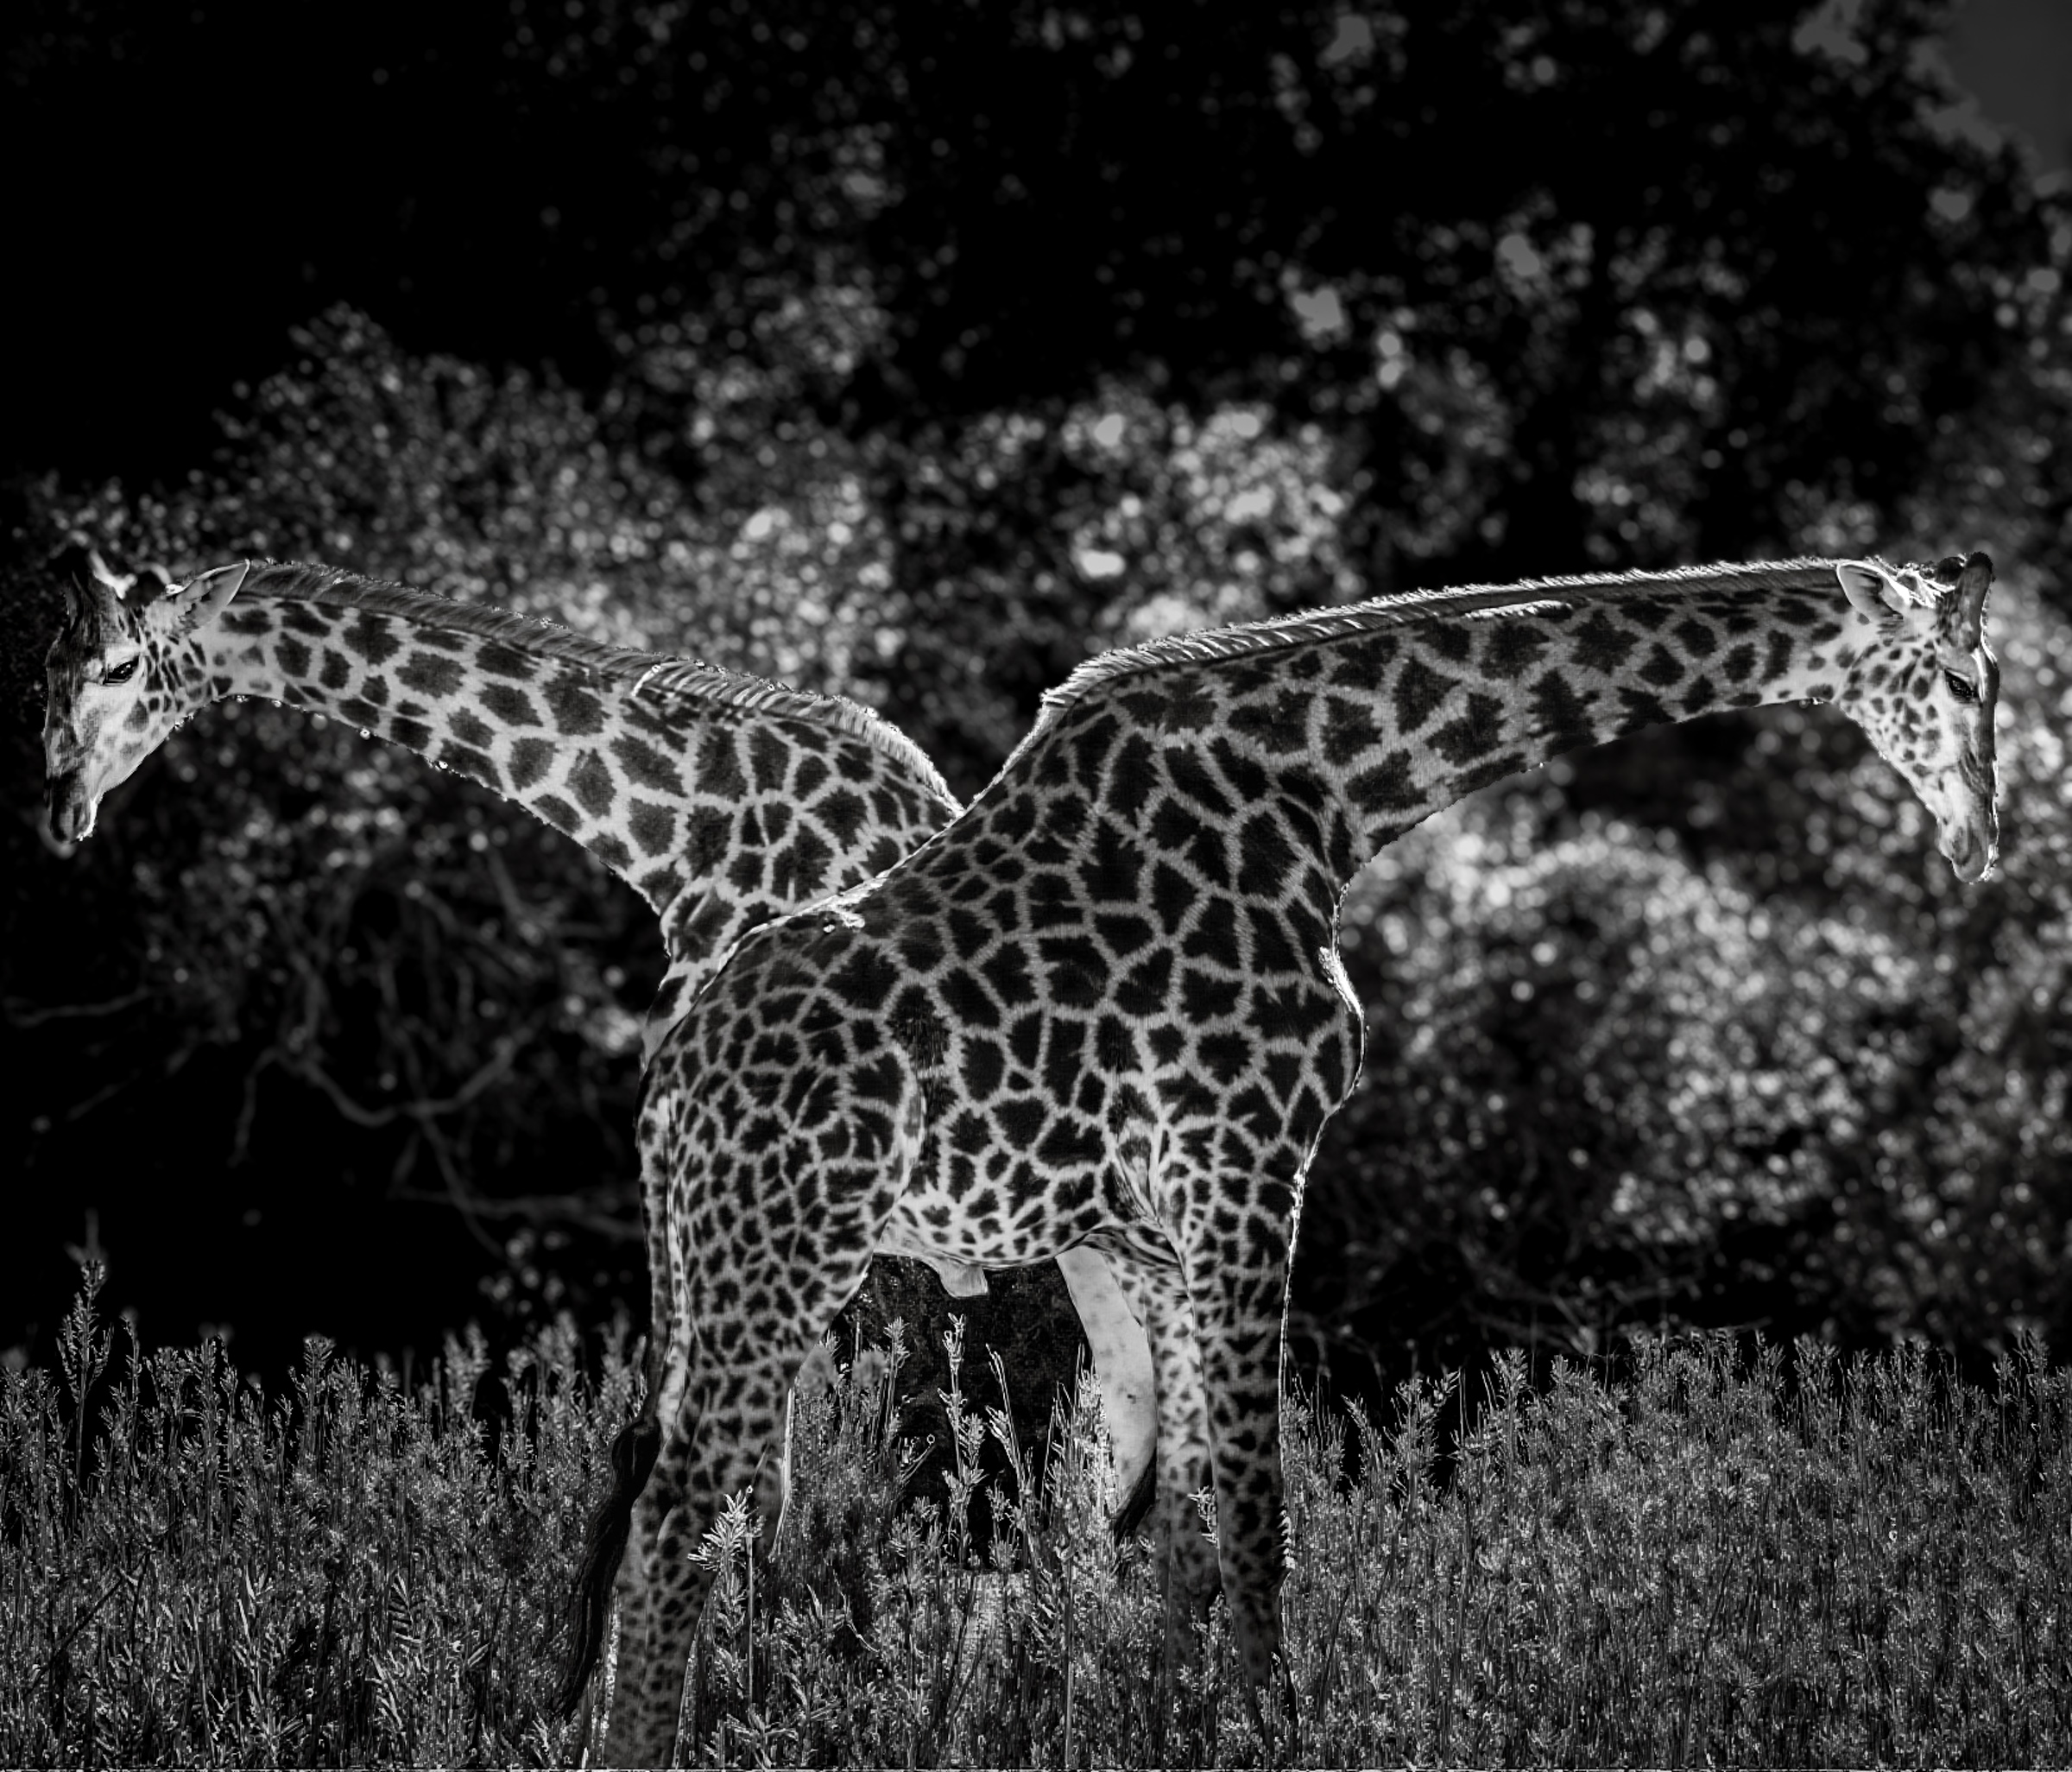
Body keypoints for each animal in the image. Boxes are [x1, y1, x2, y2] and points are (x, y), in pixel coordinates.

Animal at [35, 547, 1162, 1673]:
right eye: (47, 666)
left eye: (124, 667)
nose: (61, 806)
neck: (683, 838)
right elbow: (708, 1463)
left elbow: (736, 1471)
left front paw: (738, 1677)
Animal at [586, 549, 1999, 1761]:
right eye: (1969, 681)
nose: (1980, 839)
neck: (1330, 799)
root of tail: (675, 1069)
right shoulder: (1251, 1158)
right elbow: (1257, 1504)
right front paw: (1273, 1731)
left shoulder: (1167, 1222)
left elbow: (1188, 1511)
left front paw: (1169, 1726)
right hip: (787, 1244)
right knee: (682, 1511)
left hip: (709, 1258)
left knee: (667, 1486)